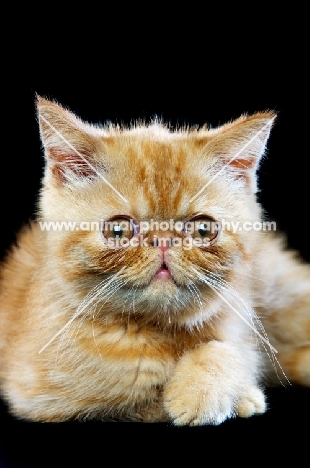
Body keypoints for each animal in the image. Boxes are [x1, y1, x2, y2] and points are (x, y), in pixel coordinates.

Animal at [0, 97, 308, 426]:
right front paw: (230, 396)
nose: (162, 241)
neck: (158, 331)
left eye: (203, 229)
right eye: (118, 230)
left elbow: (228, 349)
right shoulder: (47, 398)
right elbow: (139, 398)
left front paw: (211, 389)